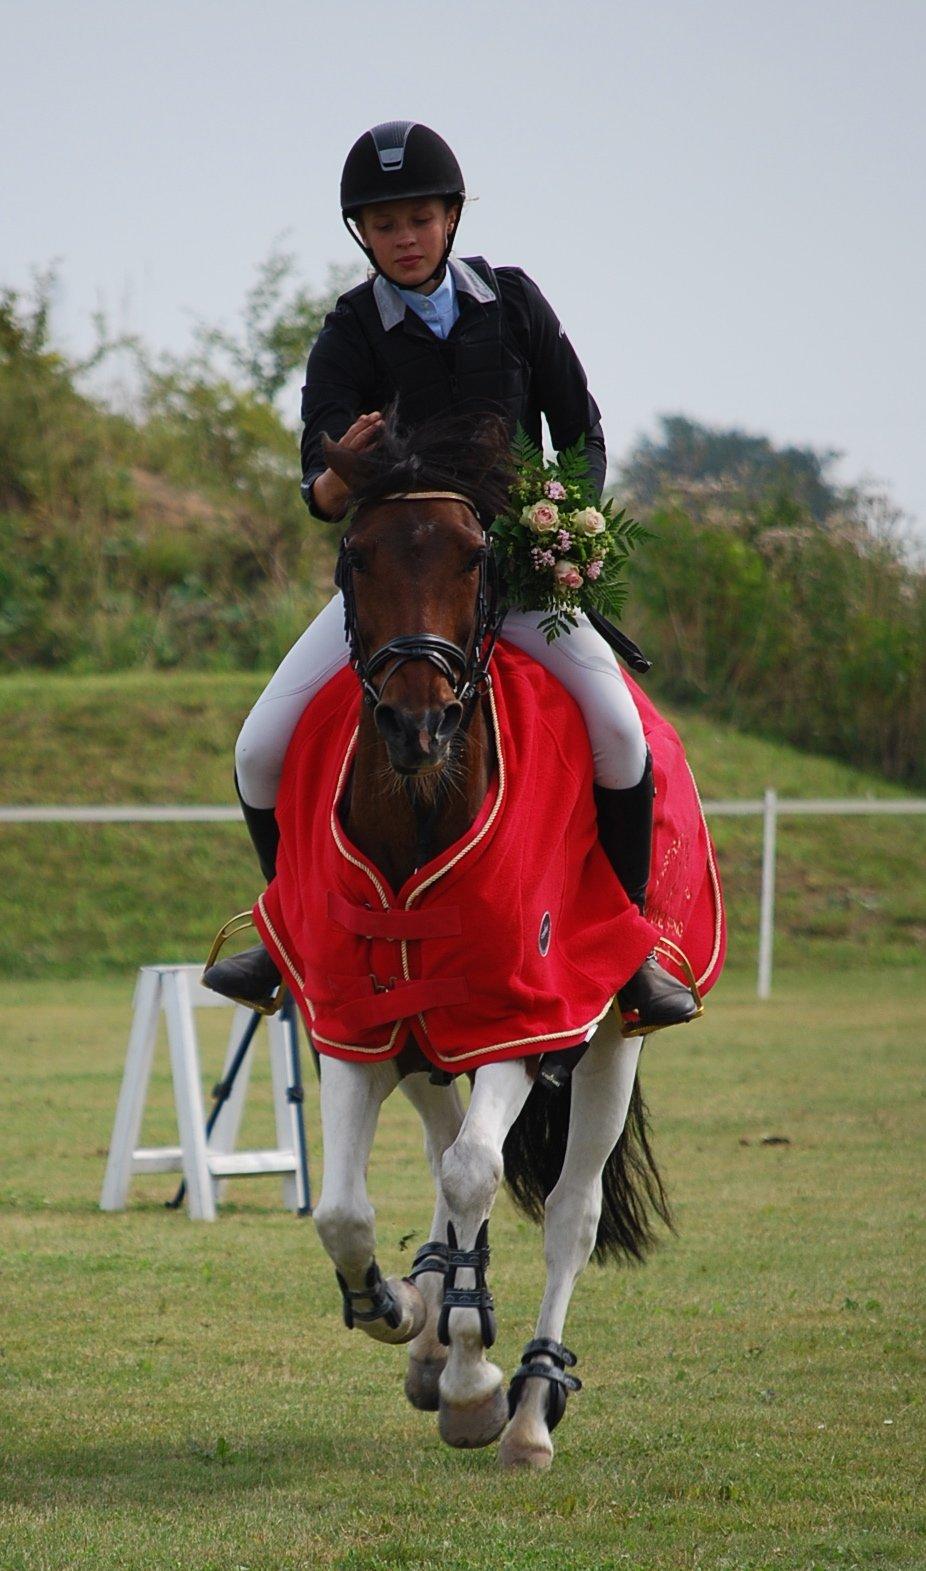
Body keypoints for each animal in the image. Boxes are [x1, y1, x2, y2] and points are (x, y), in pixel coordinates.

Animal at [250, 414, 724, 1469]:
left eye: (475, 555)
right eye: (357, 552)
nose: (416, 723)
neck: (423, 809)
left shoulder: (521, 1016)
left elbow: (481, 1169)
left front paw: (476, 1384)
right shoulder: (356, 1016)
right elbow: (345, 1206)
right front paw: (396, 1304)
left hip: (609, 1037)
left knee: (567, 1211)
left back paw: (532, 1402)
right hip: (422, 1035)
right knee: (443, 1147)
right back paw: (433, 1313)